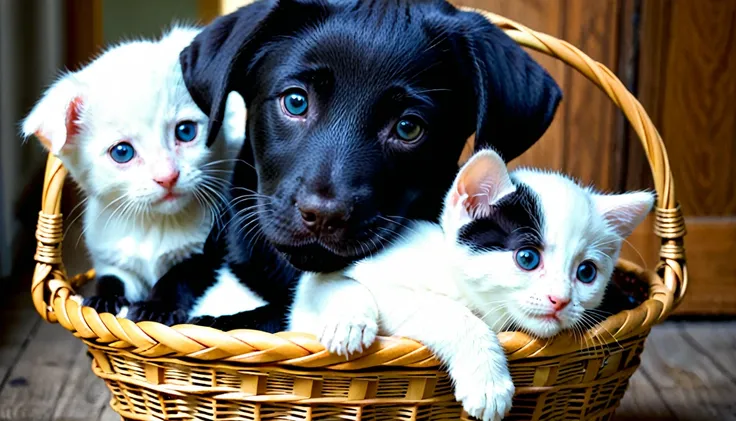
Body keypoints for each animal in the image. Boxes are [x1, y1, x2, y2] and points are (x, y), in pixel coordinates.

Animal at [22, 26, 247, 314]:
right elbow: (112, 277)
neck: (155, 224)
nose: (167, 177)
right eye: (122, 152)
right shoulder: (109, 255)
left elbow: (181, 274)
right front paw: (103, 300)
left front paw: (156, 305)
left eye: (186, 131)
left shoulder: (211, 251)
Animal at [128, 0, 564, 328]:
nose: (323, 216)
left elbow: (266, 317)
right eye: (295, 101)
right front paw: (153, 308)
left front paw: (203, 324)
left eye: (409, 128)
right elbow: (189, 264)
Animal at [288, 149, 656, 420]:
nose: (560, 299)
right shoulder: (352, 272)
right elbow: (441, 309)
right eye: (527, 258)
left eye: (586, 272)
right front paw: (488, 383)